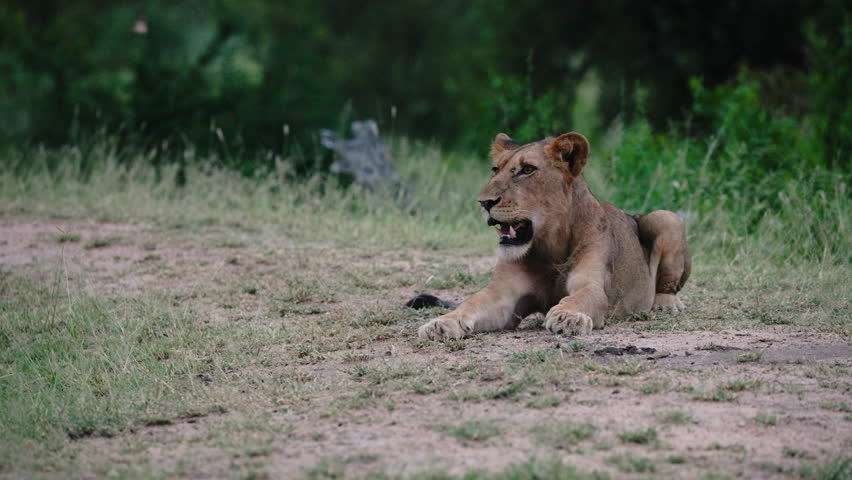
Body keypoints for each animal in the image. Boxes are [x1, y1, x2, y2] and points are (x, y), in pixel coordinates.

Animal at [417, 132, 690, 341]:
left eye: (527, 170)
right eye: (495, 169)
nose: (484, 202)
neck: (549, 246)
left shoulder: (590, 283)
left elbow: (580, 297)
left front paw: (568, 317)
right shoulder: (504, 295)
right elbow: (472, 301)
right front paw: (442, 323)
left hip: (666, 217)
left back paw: (665, 304)